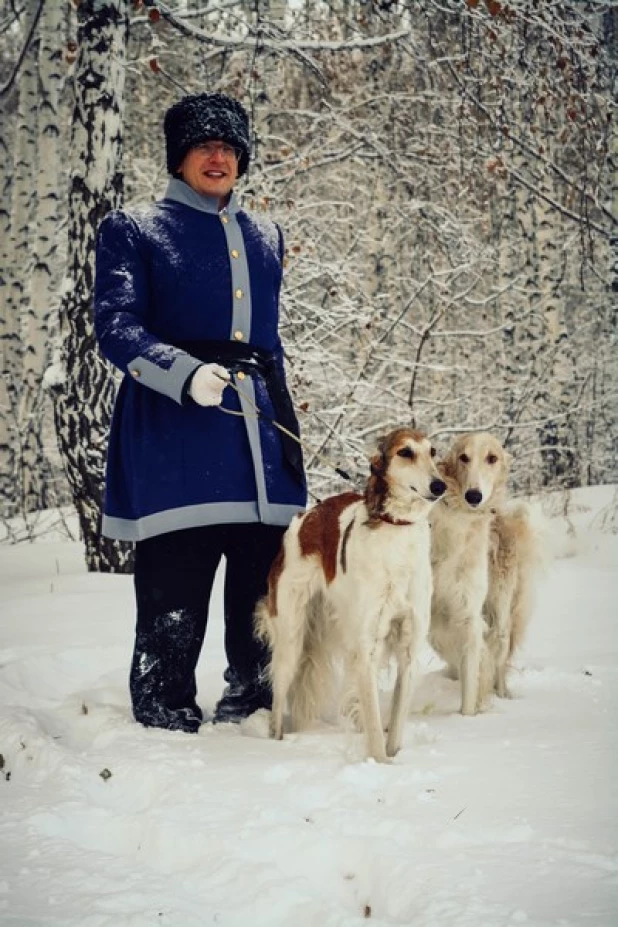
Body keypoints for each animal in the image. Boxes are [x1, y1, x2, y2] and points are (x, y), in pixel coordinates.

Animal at [253, 428, 446, 760]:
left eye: (432, 452)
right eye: (405, 452)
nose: (440, 486)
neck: (396, 531)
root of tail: (305, 516)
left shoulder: (408, 647)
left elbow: (395, 729)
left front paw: (395, 759)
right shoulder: (365, 647)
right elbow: (375, 731)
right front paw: (379, 764)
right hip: (292, 636)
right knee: (279, 694)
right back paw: (276, 742)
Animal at [428, 436, 540, 716]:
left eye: (492, 458)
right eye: (463, 457)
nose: (474, 496)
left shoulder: (468, 614)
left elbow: (471, 687)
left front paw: (468, 719)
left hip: (501, 615)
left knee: (498, 661)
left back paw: (502, 694)